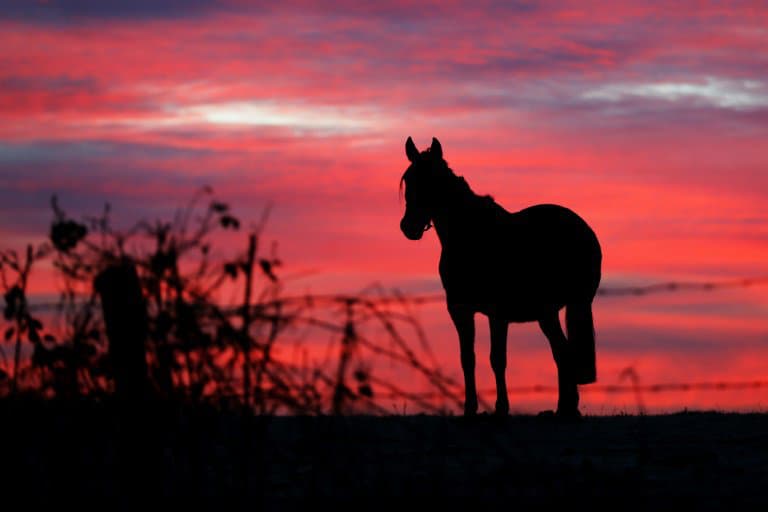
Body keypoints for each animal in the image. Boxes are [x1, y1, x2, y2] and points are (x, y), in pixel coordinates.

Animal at [400, 137, 604, 420]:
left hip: (561, 308)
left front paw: (500, 408)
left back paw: (566, 409)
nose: (409, 227)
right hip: (552, 312)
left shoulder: (497, 312)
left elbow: (497, 359)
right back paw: (565, 408)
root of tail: (584, 229)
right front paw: (471, 408)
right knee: (561, 352)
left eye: (432, 180)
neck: (470, 234)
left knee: (564, 352)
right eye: (408, 180)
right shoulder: (460, 309)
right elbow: (468, 358)